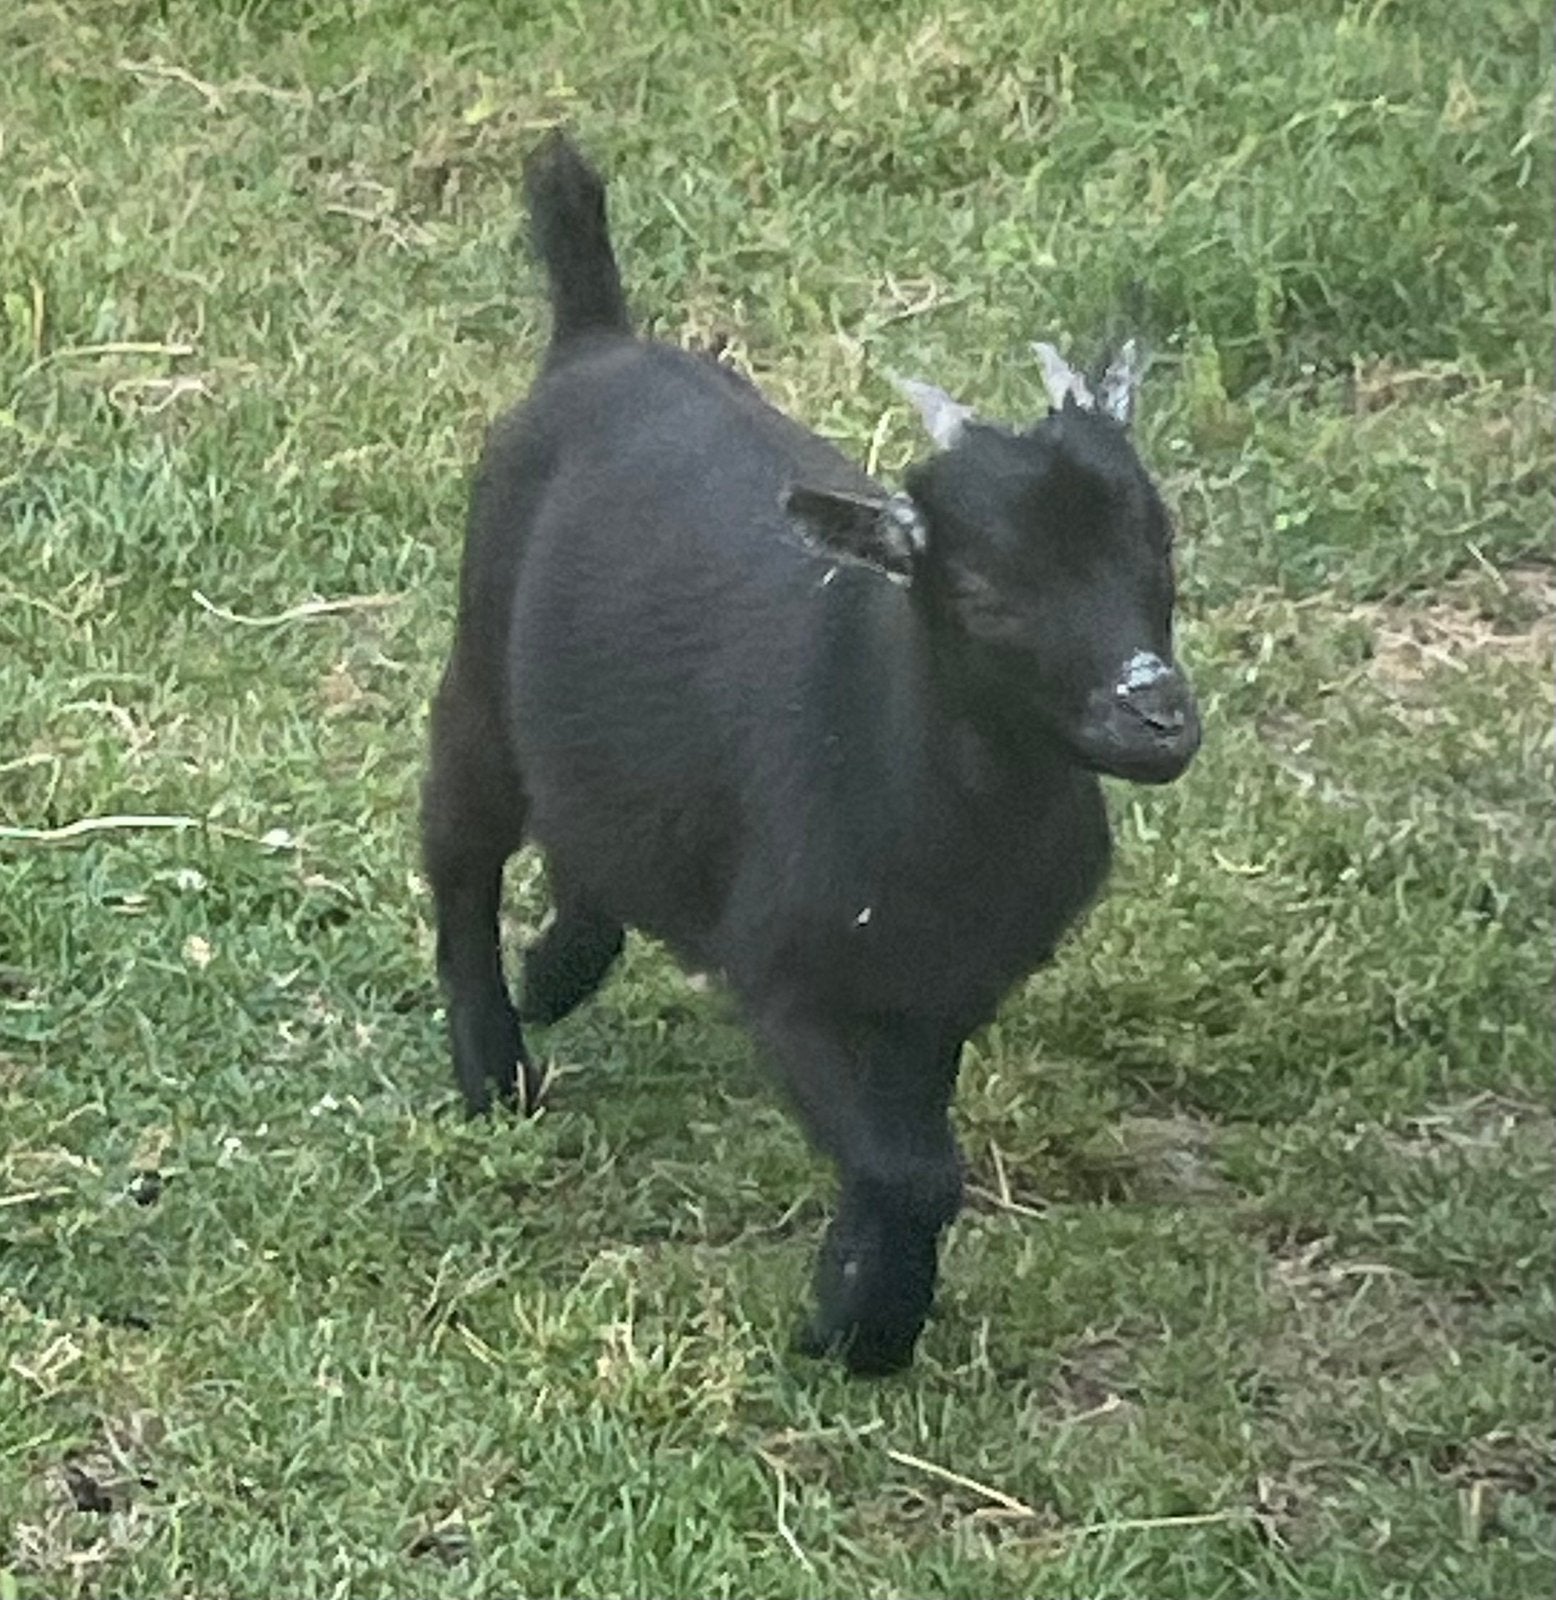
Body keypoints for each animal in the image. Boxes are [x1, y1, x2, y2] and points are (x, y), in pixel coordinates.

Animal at [421, 132, 1201, 1374]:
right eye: (979, 592)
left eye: (1157, 545)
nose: (1155, 715)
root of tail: (596, 341)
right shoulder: (790, 978)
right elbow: (907, 1166)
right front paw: (855, 1326)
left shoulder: (943, 993)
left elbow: (911, 1152)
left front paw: (858, 1301)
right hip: (479, 679)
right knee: (459, 852)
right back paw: (495, 1066)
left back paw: (556, 968)